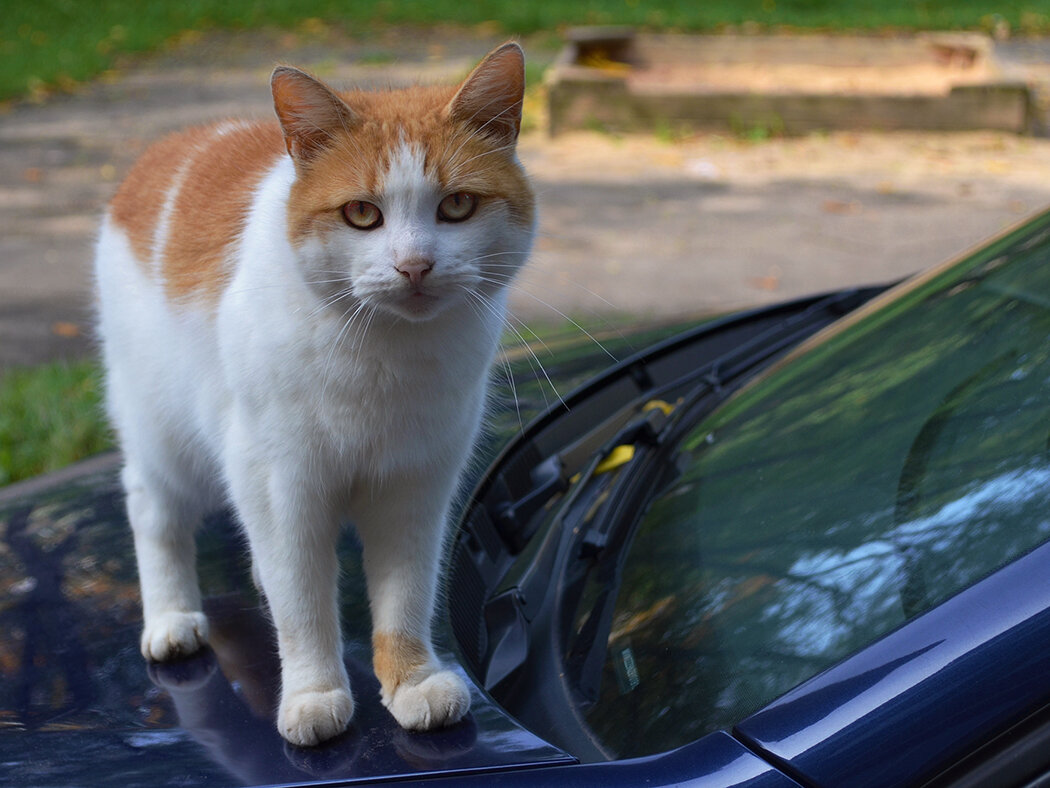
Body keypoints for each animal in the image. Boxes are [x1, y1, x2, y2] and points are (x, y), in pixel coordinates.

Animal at [92, 43, 533, 748]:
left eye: (458, 206)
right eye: (362, 214)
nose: (415, 266)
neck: (385, 352)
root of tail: (171, 144)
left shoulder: (416, 489)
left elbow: (405, 595)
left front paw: (411, 681)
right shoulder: (280, 485)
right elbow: (303, 607)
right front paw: (313, 695)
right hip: (164, 438)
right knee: (153, 510)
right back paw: (170, 619)